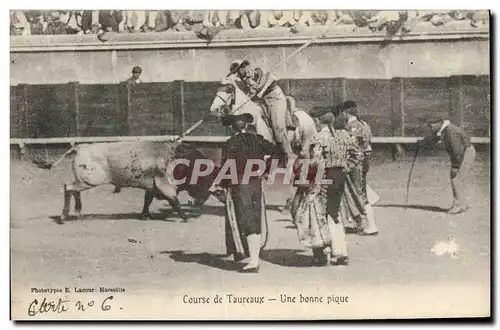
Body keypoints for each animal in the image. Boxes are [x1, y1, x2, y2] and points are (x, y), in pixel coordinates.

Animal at [35, 141, 221, 223]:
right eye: (208, 179)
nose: (199, 205)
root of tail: (80, 147)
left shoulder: (151, 186)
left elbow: (147, 200)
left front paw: (145, 216)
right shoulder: (165, 185)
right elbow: (174, 201)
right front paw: (185, 217)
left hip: (84, 181)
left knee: (73, 190)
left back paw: (78, 213)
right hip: (89, 181)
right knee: (68, 187)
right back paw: (64, 216)